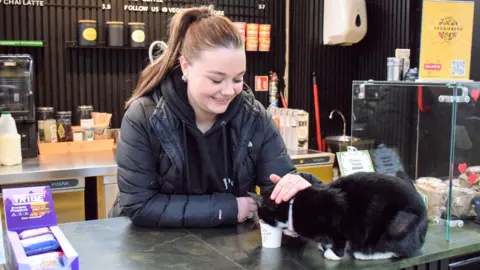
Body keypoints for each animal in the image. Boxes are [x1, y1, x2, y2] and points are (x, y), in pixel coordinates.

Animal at [251, 172, 428, 260]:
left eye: (262, 214)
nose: (258, 220)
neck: (292, 207)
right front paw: (324, 245)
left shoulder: (337, 211)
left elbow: (339, 239)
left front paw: (333, 253)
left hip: (397, 225)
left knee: (401, 250)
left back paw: (364, 254)